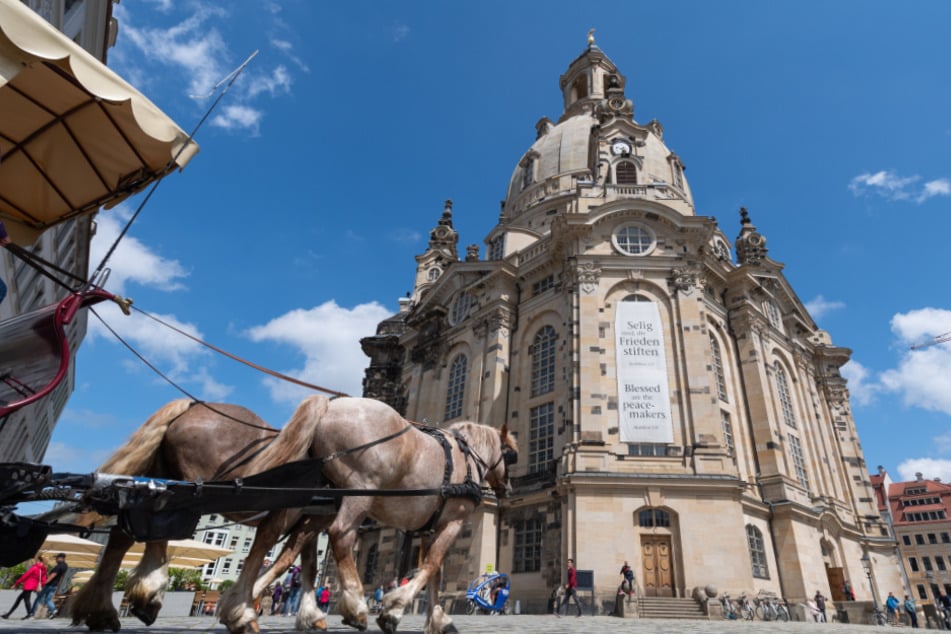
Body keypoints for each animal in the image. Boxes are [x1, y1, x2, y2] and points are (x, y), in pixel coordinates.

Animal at [67, 398, 328, 628]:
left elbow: (308, 565)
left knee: (124, 536)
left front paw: (310, 615)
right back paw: (142, 595)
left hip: (160, 477)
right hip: (196, 488)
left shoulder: (314, 518)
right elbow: (276, 557)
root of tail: (191, 406)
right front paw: (241, 609)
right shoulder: (295, 515)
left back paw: (110, 608)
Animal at [217, 396, 520, 632]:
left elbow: (433, 571)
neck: (466, 457)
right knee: (339, 536)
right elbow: (432, 564)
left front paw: (438, 620)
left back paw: (239, 609)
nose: (507, 489)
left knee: (274, 540)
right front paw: (393, 608)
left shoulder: (432, 527)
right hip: (358, 492)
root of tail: (330, 404)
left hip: (316, 500)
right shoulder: (453, 521)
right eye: (510, 455)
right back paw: (356, 607)